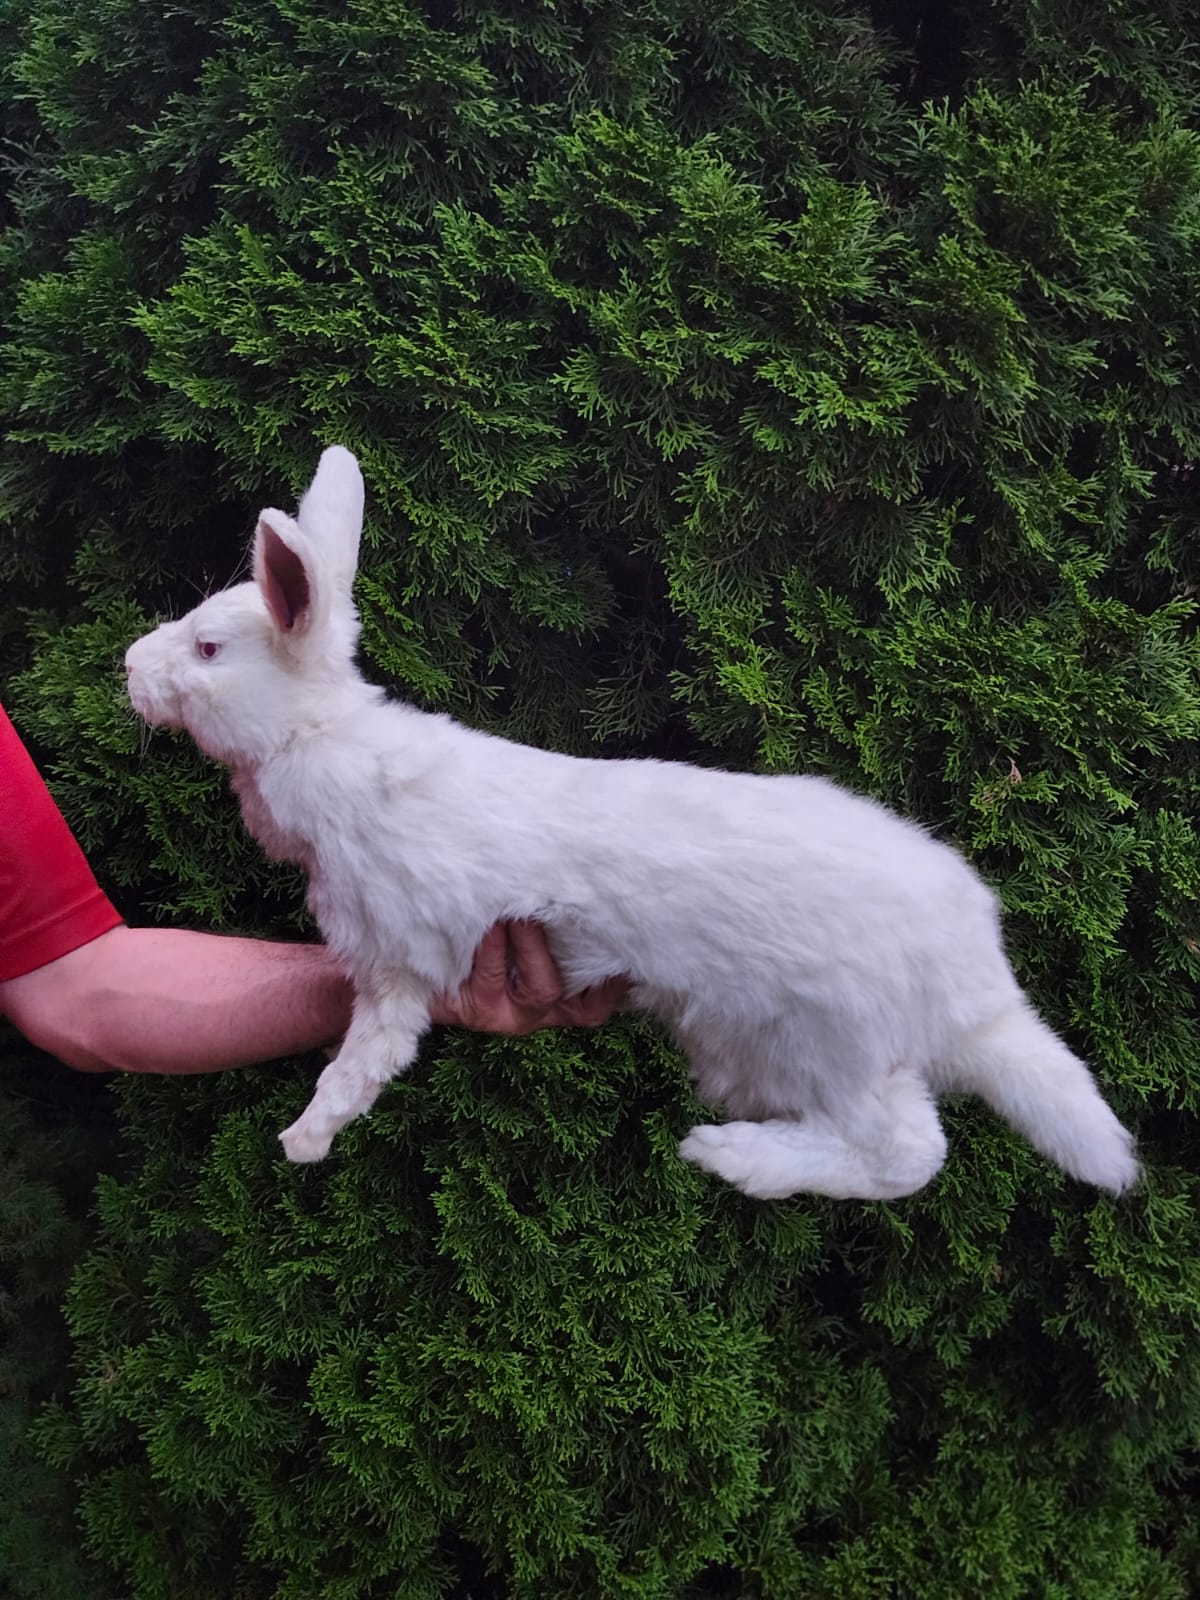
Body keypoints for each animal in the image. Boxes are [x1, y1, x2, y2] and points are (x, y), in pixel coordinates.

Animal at [124, 446, 1139, 1201]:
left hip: (826, 1049)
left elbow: (363, 1060)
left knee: (908, 1153)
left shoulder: (397, 966)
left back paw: (733, 1157)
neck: (322, 740)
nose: (130, 667)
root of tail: (979, 989)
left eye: (208, 649)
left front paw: (304, 1139)